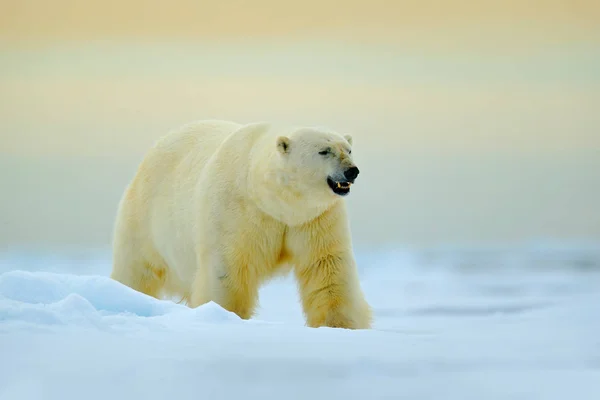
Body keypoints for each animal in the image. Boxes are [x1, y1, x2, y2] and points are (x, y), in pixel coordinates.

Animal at [108, 120, 370, 330]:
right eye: (324, 151)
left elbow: (326, 265)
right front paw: (223, 316)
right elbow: (228, 268)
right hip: (144, 215)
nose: (352, 170)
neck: (273, 200)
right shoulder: (237, 211)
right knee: (135, 268)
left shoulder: (314, 218)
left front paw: (339, 326)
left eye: (348, 149)